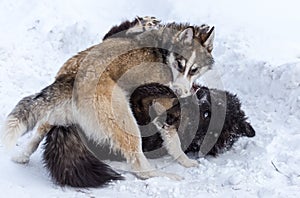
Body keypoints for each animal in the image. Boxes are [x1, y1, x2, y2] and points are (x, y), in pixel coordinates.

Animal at [1, 16, 214, 183]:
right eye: (180, 64)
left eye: (194, 69)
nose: (179, 90)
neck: (164, 50)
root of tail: (72, 77)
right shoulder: (161, 106)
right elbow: (174, 142)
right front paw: (185, 160)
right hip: (125, 122)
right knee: (140, 166)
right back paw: (163, 176)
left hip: (59, 114)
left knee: (39, 131)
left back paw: (22, 155)